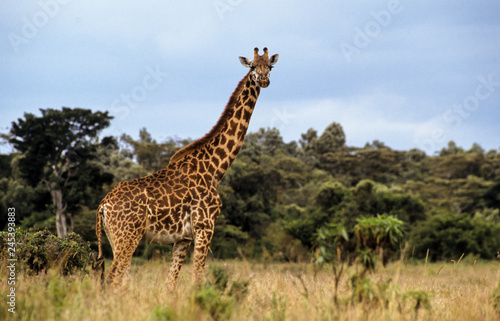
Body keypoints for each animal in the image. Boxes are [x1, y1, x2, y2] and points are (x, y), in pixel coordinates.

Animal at [94, 47, 280, 288]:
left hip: (115, 238)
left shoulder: (183, 237)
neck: (215, 169)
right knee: (113, 279)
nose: (264, 80)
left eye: (271, 66)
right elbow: (197, 279)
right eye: (252, 66)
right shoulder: (205, 227)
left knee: (121, 281)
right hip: (127, 236)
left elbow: (170, 284)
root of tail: (103, 206)